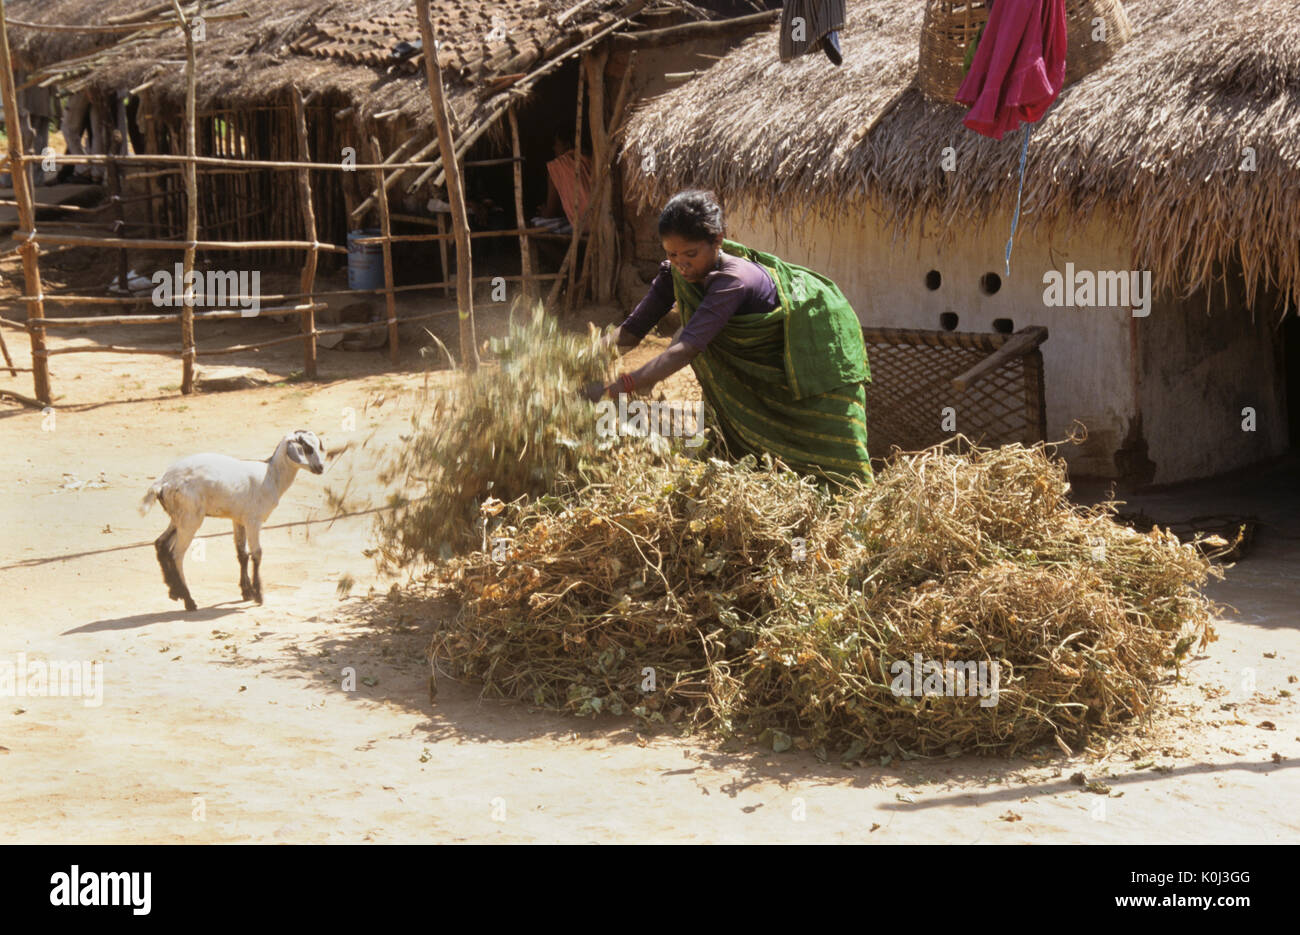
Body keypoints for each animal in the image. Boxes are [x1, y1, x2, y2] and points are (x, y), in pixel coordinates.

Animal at [137, 431, 327, 613]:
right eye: (307, 448)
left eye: (318, 445)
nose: (320, 468)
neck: (271, 475)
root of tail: (163, 482)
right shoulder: (253, 521)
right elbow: (257, 554)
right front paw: (259, 595)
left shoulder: (238, 519)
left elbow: (242, 554)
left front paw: (247, 592)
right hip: (190, 519)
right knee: (177, 554)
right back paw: (189, 601)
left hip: (179, 517)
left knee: (161, 544)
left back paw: (174, 591)